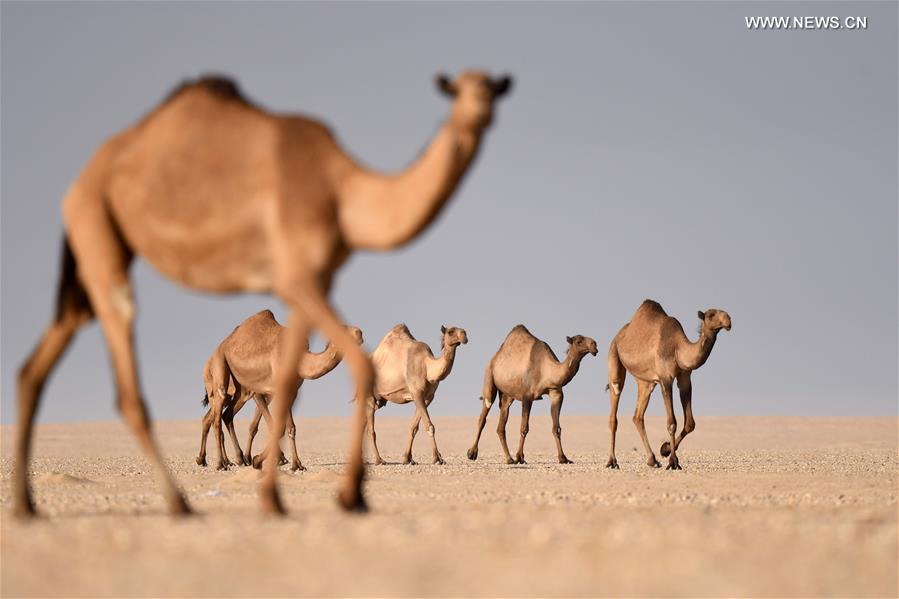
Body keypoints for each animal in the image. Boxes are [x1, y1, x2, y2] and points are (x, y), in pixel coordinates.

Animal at [195, 310, 364, 474]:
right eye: (342, 330)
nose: (360, 333)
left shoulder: (292, 391)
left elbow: (290, 428)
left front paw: (296, 465)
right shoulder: (264, 389)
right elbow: (274, 426)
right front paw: (261, 460)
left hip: (239, 391)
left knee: (224, 415)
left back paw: (228, 459)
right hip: (219, 370)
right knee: (217, 417)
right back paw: (221, 463)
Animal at [366, 326, 468, 466]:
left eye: (463, 330)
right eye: (450, 332)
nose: (464, 335)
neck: (427, 366)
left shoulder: (427, 397)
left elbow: (413, 427)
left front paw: (407, 459)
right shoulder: (416, 392)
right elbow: (430, 426)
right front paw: (437, 459)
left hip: (380, 399)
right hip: (369, 395)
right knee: (371, 429)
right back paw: (379, 460)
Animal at [464, 326, 596, 466]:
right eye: (578, 341)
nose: (594, 345)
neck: (546, 370)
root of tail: (494, 358)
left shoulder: (556, 393)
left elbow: (556, 428)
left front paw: (563, 458)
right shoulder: (527, 396)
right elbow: (524, 428)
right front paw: (520, 457)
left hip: (507, 395)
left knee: (501, 424)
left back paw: (509, 459)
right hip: (489, 379)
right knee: (483, 416)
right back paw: (472, 453)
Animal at [604, 302, 732, 472]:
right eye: (711, 315)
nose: (728, 321)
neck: (679, 349)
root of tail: (619, 335)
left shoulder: (685, 378)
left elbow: (690, 423)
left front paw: (664, 450)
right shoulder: (666, 379)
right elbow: (672, 423)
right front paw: (673, 461)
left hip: (645, 381)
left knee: (638, 416)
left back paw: (652, 460)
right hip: (614, 355)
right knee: (615, 402)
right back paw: (612, 461)